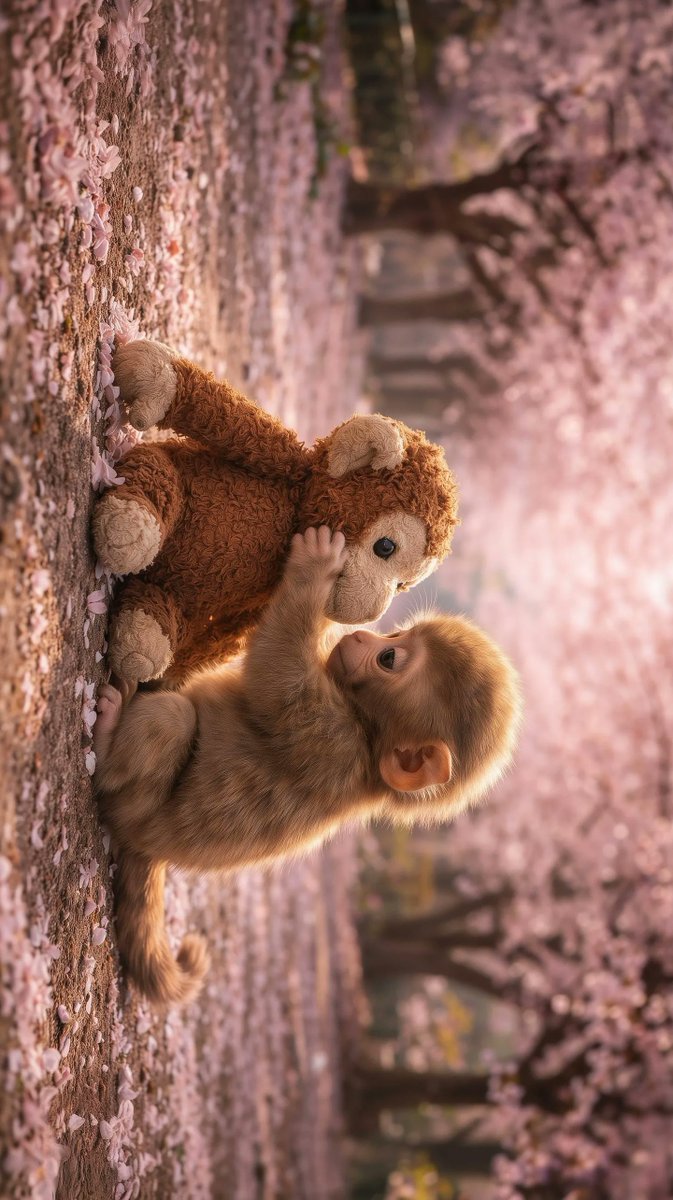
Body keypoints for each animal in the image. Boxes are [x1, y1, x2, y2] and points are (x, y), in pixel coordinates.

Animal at [94, 527, 521, 1006]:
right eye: (394, 634)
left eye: (389, 660)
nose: (362, 638)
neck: (369, 740)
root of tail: (147, 848)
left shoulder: (331, 742)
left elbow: (279, 680)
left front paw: (314, 570)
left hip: (134, 808)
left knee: (170, 722)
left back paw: (106, 739)